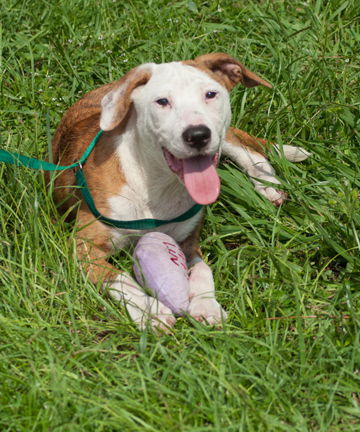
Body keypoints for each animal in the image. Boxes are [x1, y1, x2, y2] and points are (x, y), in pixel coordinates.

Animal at [51, 53, 310, 330]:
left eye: (210, 94)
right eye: (162, 101)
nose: (197, 135)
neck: (157, 185)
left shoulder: (189, 243)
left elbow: (204, 270)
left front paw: (207, 306)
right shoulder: (84, 248)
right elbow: (120, 278)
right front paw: (150, 311)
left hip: (225, 138)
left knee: (249, 149)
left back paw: (268, 185)